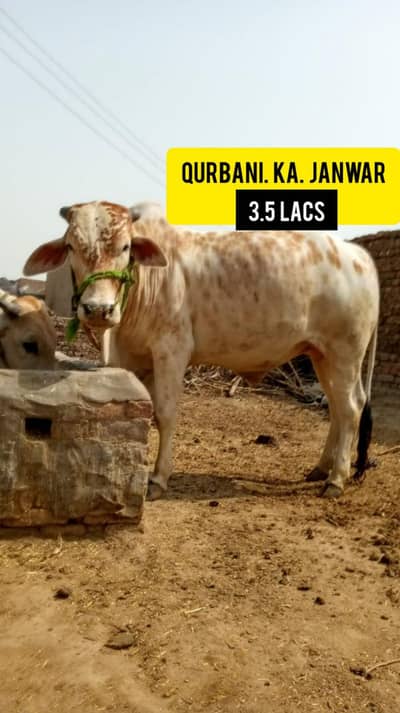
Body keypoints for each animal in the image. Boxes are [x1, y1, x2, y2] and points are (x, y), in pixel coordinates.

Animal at [23, 201, 380, 499]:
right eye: (71, 246)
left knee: (350, 409)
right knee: (338, 408)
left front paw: (158, 478)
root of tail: (356, 254)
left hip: (345, 353)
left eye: (125, 247)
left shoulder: (171, 350)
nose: (98, 309)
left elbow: (164, 413)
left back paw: (336, 479)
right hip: (322, 354)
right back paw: (321, 468)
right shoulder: (134, 358)